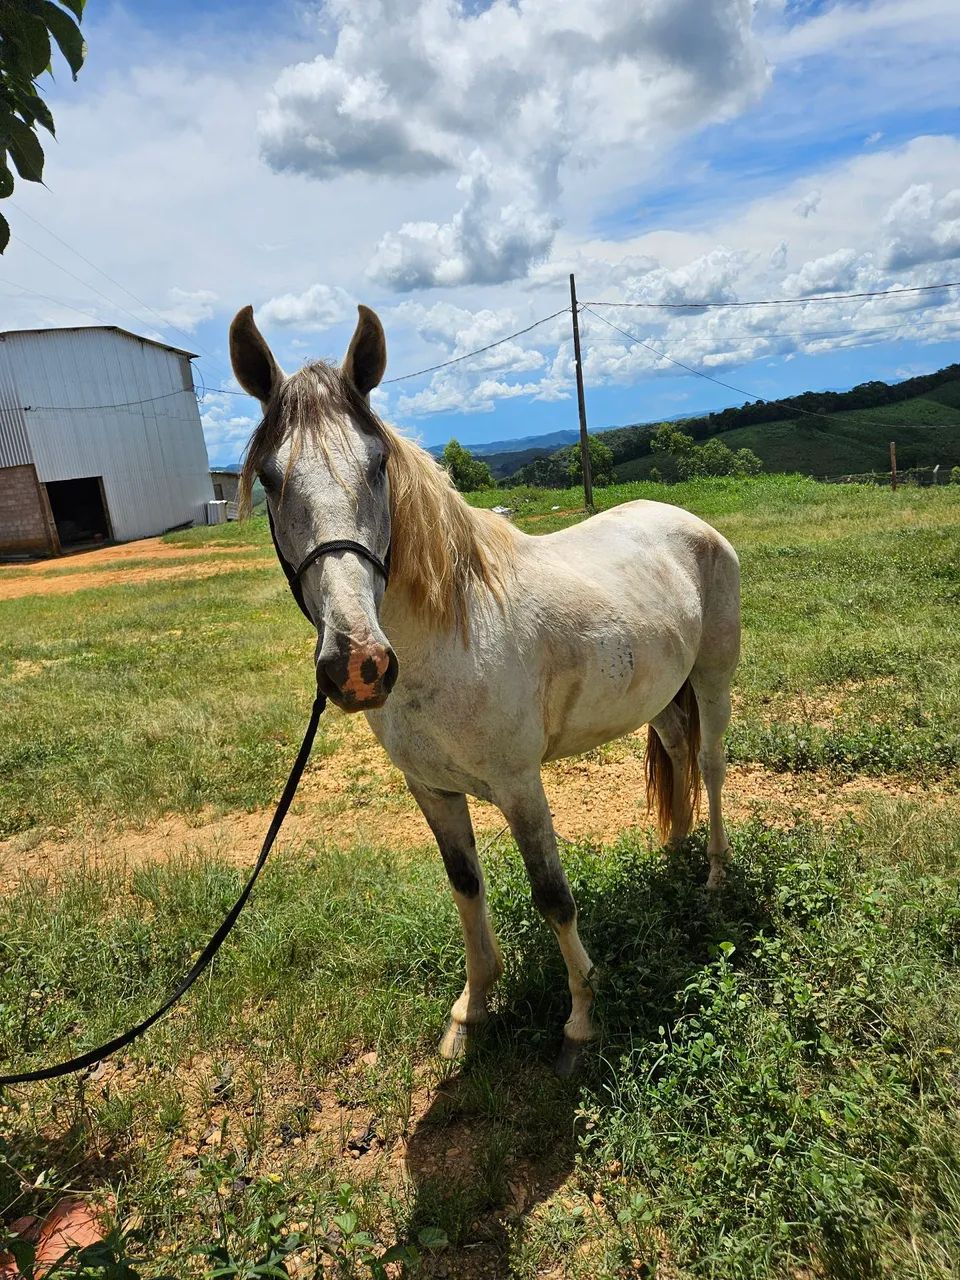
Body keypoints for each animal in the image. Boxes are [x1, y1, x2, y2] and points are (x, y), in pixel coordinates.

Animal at [229, 302, 741, 1073]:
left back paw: (711, 877)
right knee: (678, 750)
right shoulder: (432, 791)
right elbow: (466, 887)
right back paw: (673, 854)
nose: (359, 664)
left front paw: (581, 1020)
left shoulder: (520, 784)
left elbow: (552, 896)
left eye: (377, 465)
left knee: (708, 762)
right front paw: (471, 1011)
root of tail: (686, 521)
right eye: (269, 477)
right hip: (659, 691)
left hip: (712, 676)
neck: (451, 637)